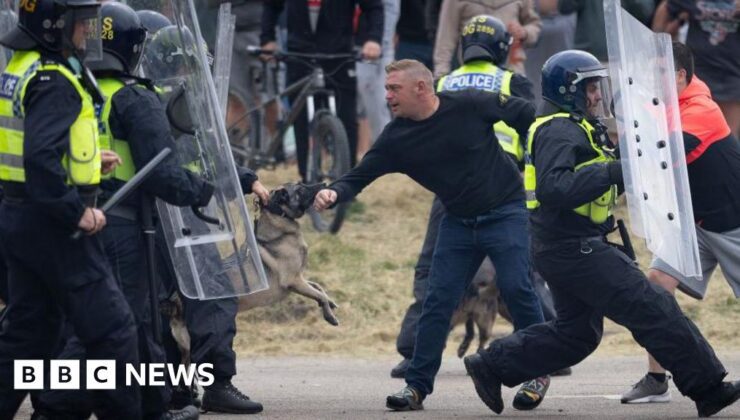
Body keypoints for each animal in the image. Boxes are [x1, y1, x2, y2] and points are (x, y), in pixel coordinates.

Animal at [238, 183, 340, 324]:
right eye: (300, 189)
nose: (324, 184)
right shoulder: (293, 280)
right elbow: (319, 294)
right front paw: (329, 315)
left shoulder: (299, 278)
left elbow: (317, 286)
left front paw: (329, 302)